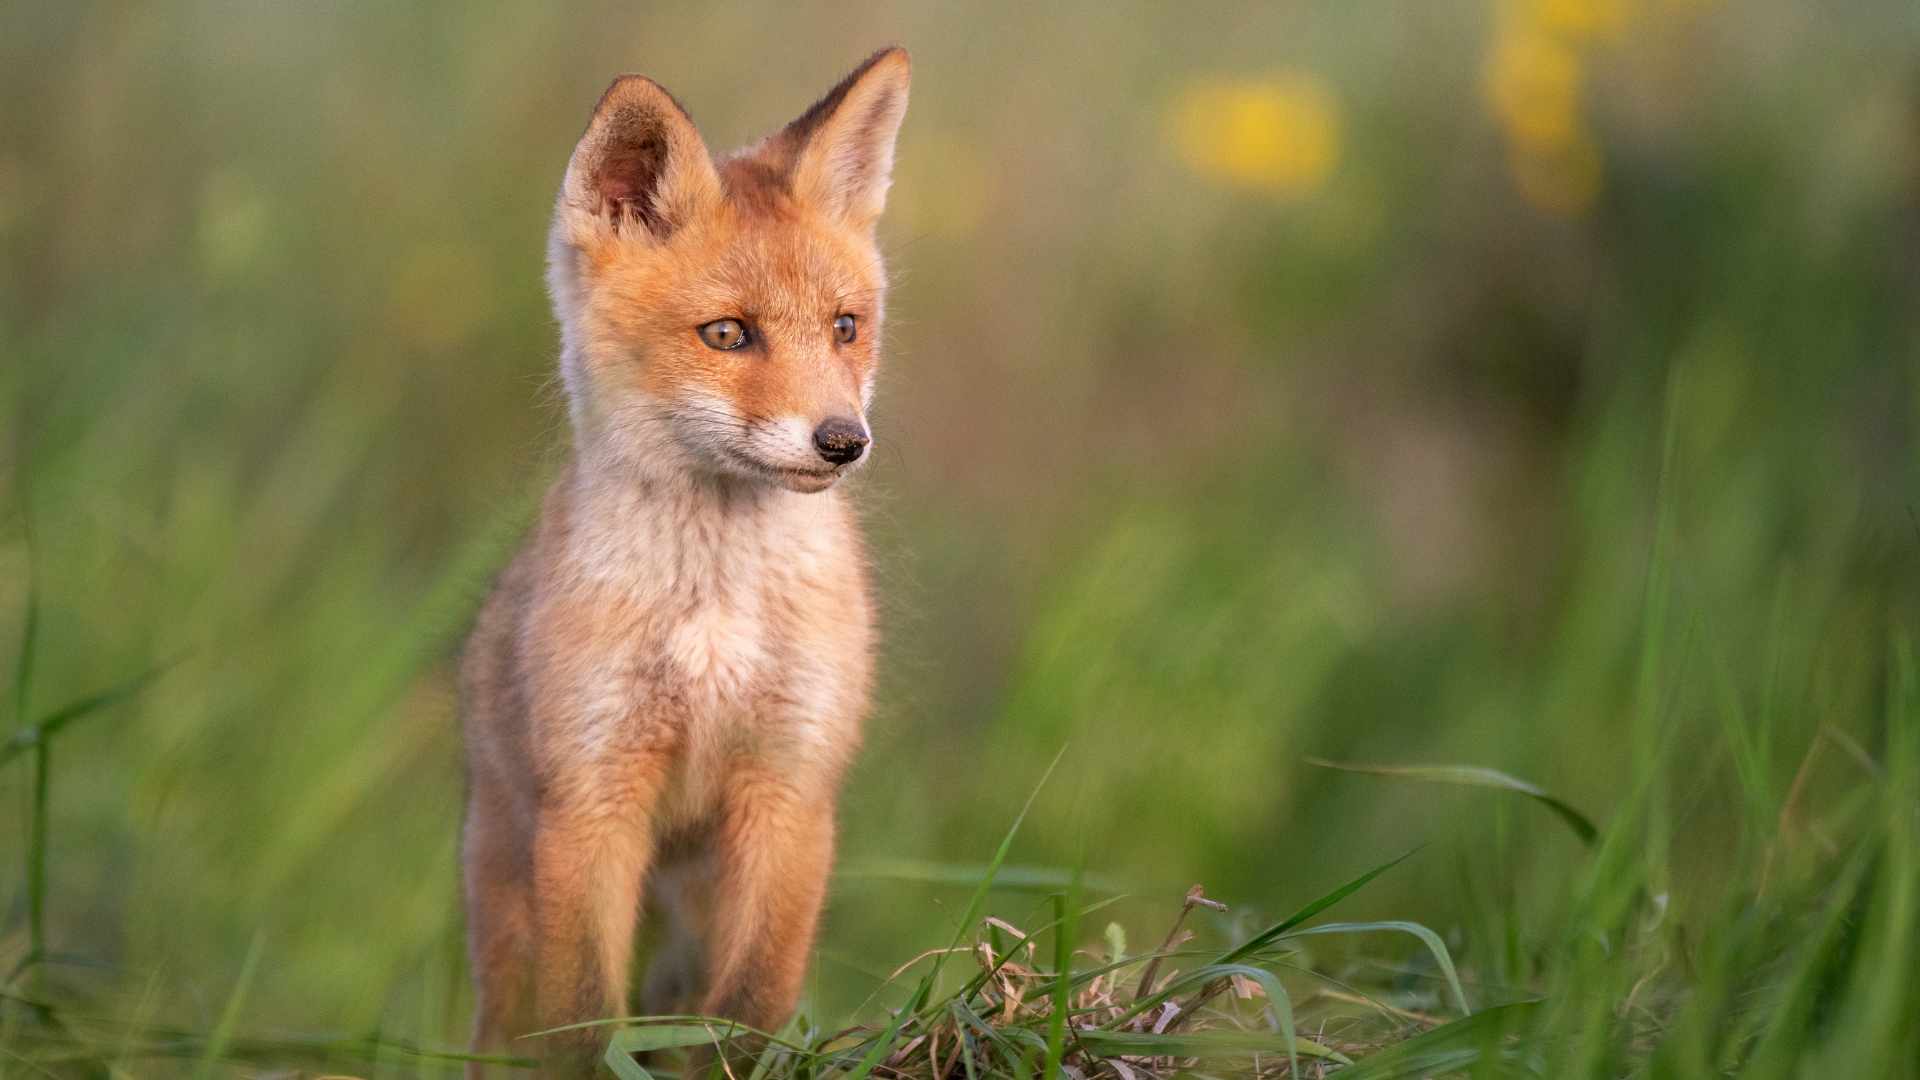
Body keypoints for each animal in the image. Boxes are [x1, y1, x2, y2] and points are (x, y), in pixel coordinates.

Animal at [458, 48, 910, 1075]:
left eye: (845, 327)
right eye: (728, 334)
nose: (844, 441)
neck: (716, 617)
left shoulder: (791, 792)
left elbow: (748, 1010)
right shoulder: (593, 798)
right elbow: (584, 1022)